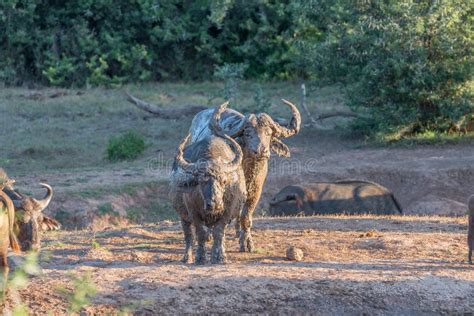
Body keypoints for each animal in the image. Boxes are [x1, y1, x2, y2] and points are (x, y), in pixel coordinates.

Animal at [170, 102, 246, 264]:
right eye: (201, 181)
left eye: (224, 181)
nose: (214, 203)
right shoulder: (193, 212)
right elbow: (200, 233)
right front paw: (200, 257)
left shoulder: (228, 211)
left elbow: (219, 232)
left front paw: (220, 256)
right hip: (182, 215)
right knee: (188, 235)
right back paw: (187, 257)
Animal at [188, 99, 300, 252]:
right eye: (247, 133)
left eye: (268, 133)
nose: (261, 151)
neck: (247, 171)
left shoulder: (255, 192)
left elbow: (246, 217)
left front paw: (247, 243)